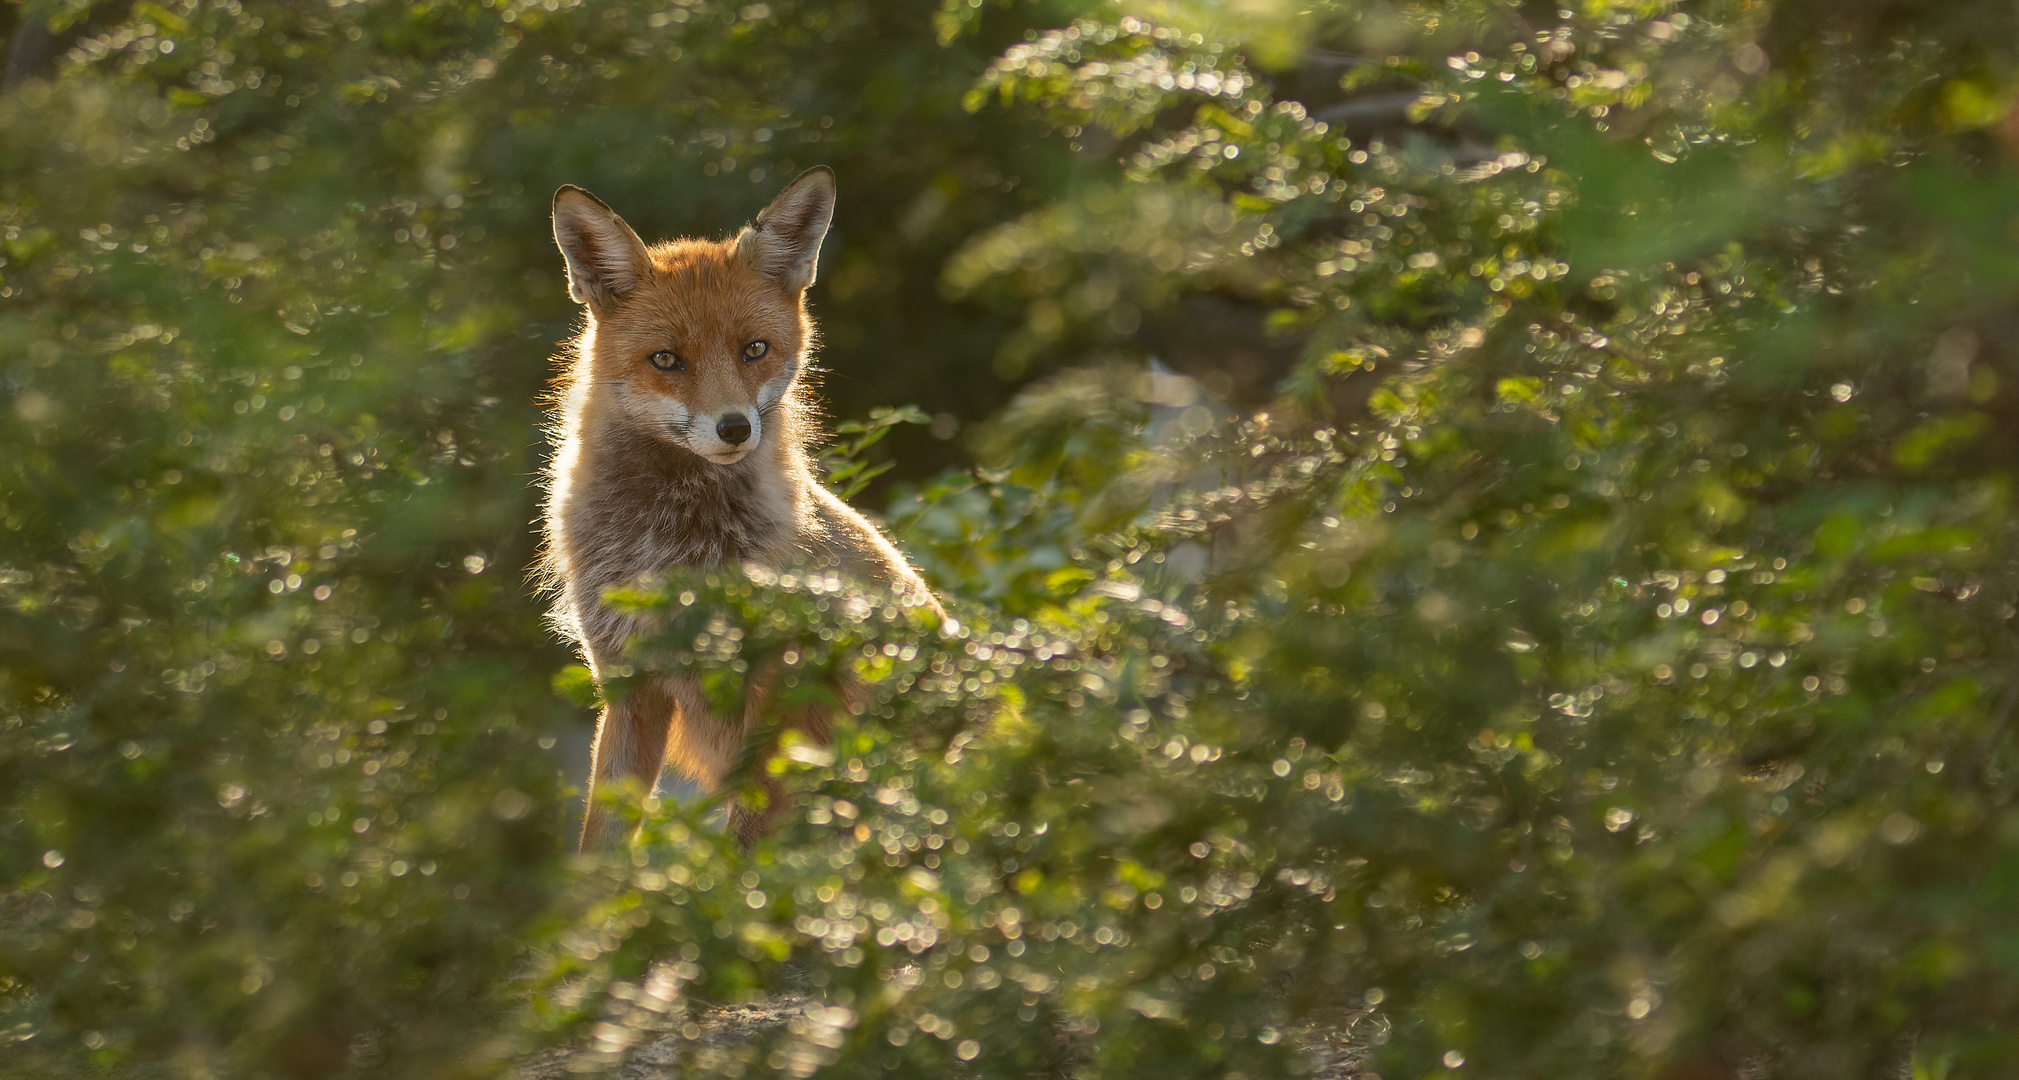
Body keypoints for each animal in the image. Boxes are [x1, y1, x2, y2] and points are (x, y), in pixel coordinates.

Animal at [541, 164, 940, 847]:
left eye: (754, 349)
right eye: (666, 360)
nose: (734, 428)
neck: (672, 542)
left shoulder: (782, 689)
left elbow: (746, 843)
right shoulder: (628, 683)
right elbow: (602, 842)